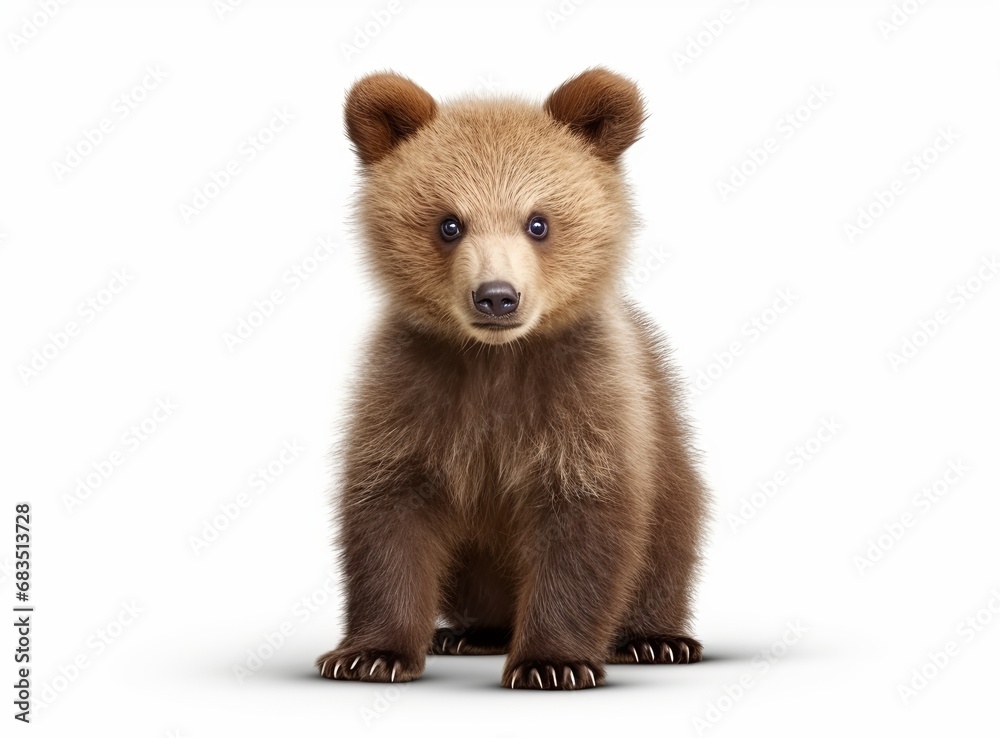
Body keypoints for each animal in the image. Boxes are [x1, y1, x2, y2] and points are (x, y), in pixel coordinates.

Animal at [316, 68, 708, 690]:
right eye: (449, 223)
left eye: (538, 222)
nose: (497, 296)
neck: (496, 360)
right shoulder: (410, 393)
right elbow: (388, 515)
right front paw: (368, 654)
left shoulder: (584, 399)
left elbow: (583, 521)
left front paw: (551, 662)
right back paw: (472, 632)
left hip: (670, 466)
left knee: (668, 544)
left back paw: (654, 639)